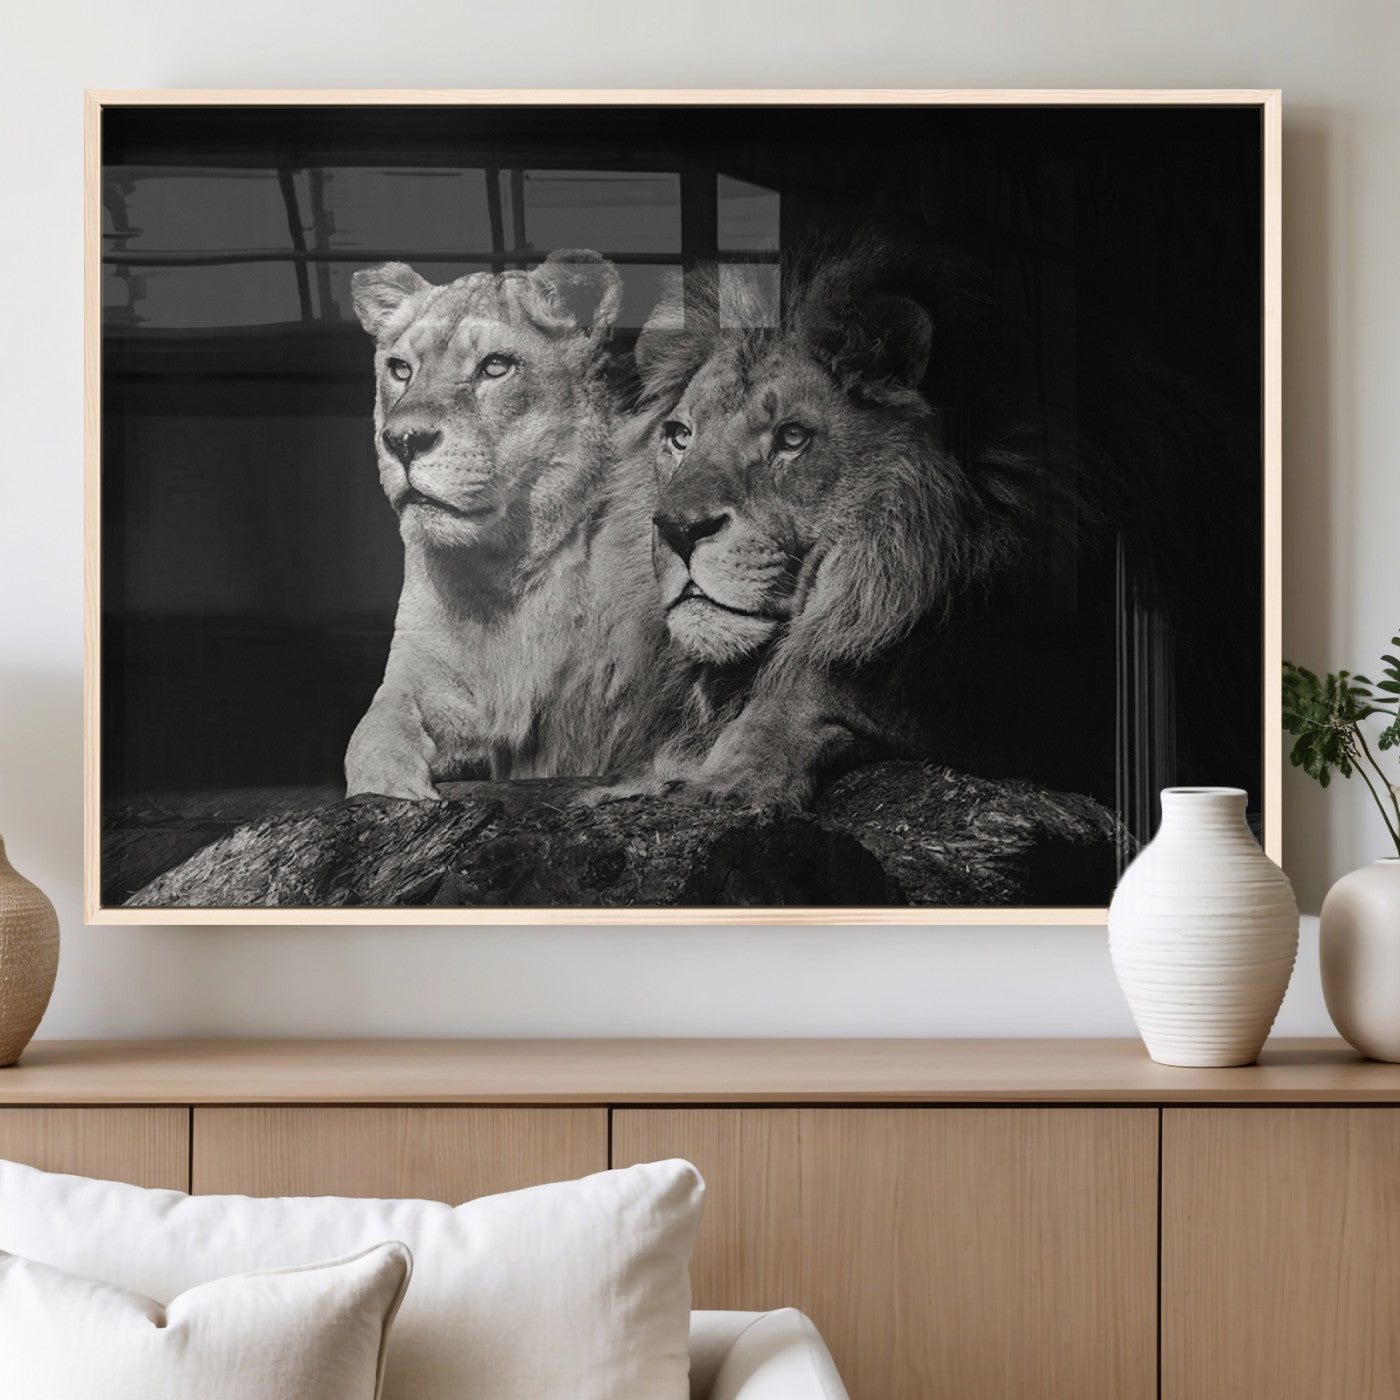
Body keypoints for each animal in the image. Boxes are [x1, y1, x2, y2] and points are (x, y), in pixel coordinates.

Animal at [344, 251, 688, 800]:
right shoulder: (420, 677)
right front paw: (393, 789)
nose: (402, 440)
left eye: (495, 366)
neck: (501, 569)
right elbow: (371, 732)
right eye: (400, 370)